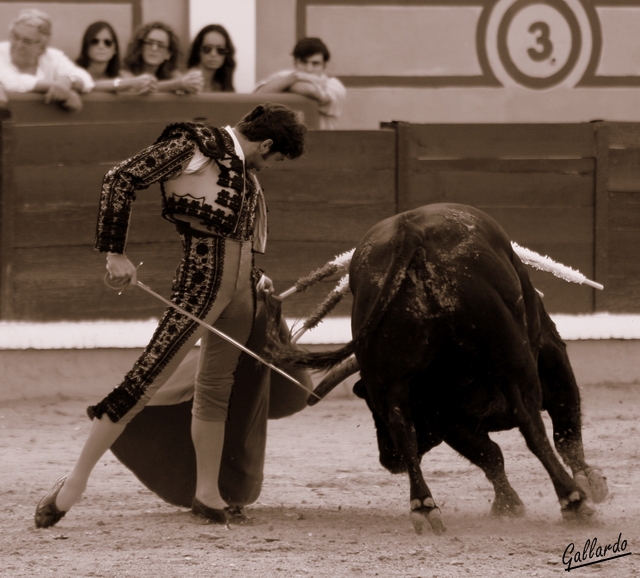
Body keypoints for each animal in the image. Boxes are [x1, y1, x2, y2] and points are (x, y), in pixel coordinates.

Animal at [268, 204, 608, 536]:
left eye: (369, 406)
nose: (387, 458)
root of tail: (409, 230)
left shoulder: (445, 417)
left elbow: (493, 455)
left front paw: (508, 505)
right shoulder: (553, 364)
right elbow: (559, 437)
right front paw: (587, 483)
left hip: (388, 374)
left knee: (403, 428)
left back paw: (423, 507)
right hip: (511, 359)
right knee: (530, 423)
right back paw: (573, 502)